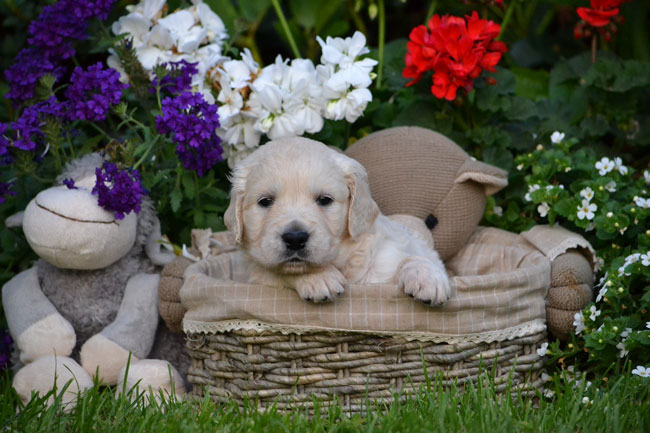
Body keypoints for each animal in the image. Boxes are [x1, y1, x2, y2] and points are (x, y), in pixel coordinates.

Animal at [223, 138, 450, 304]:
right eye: (265, 201)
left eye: (324, 200)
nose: (295, 238)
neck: (344, 262)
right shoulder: (257, 276)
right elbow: (276, 272)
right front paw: (319, 277)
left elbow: (410, 258)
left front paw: (428, 278)